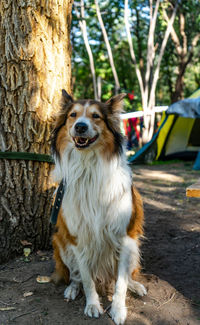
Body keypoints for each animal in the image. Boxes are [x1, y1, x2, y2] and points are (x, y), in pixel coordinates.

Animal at [50, 89, 146, 324]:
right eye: (73, 115)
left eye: (96, 116)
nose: (80, 127)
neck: (88, 169)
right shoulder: (78, 239)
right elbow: (86, 277)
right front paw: (93, 304)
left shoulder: (125, 237)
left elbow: (121, 283)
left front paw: (118, 309)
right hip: (61, 244)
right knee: (75, 275)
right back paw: (72, 288)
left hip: (134, 247)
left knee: (126, 276)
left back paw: (136, 286)